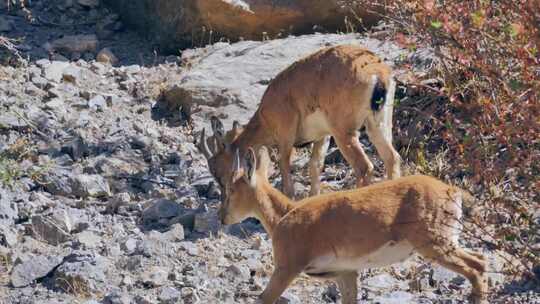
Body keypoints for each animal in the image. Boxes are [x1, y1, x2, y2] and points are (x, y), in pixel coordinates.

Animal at [198, 44, 400, 198]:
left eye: (216, 170)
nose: (224, 194)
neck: (265, 116)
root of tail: (377, 73)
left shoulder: (286, 133)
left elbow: (284, 164)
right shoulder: (323, 135)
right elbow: (315, 165)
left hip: (344, 132)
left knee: (364, 167)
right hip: (378, 123)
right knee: (392, 158)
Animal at [219, 147, 490, 304]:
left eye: (231, 189)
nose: (222, 217)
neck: (283, 216)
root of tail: (453, 192)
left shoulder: (287, 267)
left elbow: (263, 299)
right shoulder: (345, 272)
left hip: (434, 244)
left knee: (475, 268)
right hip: (446, 242)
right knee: (480, 261)